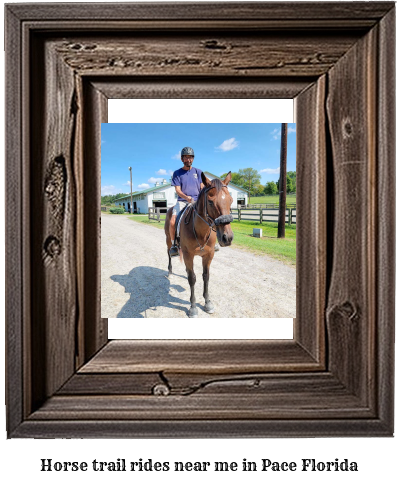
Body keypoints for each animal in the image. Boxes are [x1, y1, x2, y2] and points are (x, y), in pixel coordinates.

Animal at [165, 173, 234, 318]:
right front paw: (193, 307)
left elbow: (205, 277)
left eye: (230, 200)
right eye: (210, 202)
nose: (227, 238)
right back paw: (170, 272)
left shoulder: (208, 255)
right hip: (168, 240)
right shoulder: (188, 255)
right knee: (169, 254)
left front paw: (207, 303)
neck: (200, 231)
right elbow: (192, 279)